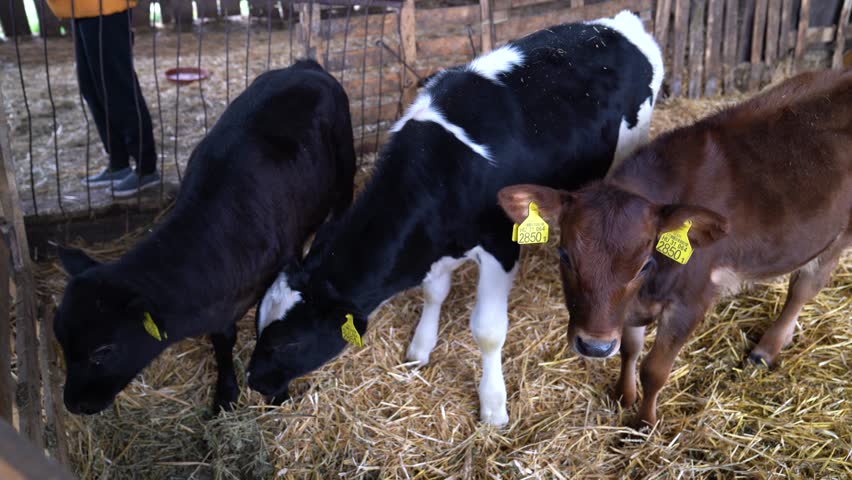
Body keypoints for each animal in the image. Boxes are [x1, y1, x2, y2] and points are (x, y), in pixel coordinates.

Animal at [53, 60, 356, 415]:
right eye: (60, 340)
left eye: (103, 351)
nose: (73, 404)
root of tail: (304, 66)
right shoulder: (219, 306)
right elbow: (222, 343)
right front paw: (225, 393)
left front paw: (276, 394)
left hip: (345, 165)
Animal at [246, 11, 664, 425]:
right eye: (257, 324)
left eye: (290, 342)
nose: (253, 380)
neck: (442, 171)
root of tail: (615, 23)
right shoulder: (435, 244)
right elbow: (434, 293)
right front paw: (420, 349)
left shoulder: (501, 245)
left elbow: (488, 331)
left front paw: (493, 406)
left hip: (633, 139)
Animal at [498, 69, 852, 428]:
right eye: (565, 255)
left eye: (643, 264)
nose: (595, 347)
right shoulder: (630, 307)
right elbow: (629, 349)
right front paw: (623, 395)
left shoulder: (691, 301)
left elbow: (654, 370)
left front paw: (643, 423)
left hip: (838, 237)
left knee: (802, 290)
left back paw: (767, 349)